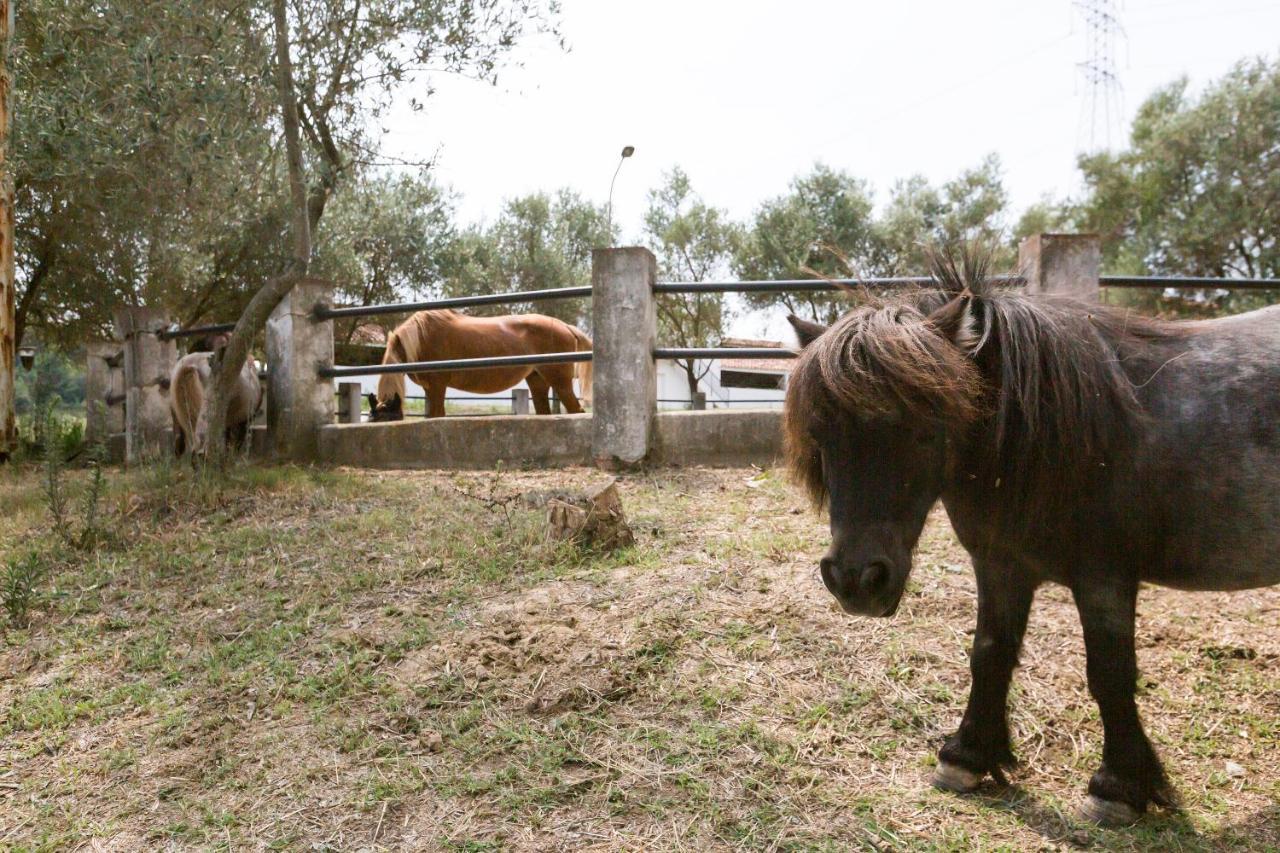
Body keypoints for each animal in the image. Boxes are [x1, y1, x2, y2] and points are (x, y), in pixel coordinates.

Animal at [368, 311, 591, 420]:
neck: (420, 338)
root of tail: (565, 326)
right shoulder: (429, 388)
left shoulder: (438, 386)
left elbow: (438, 415)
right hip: (537, 381)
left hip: (560, 382)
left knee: (576, 410)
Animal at [778, 249, 1280, 819]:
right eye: (820, 434)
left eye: (926, 430)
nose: (856, 581)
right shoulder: (1000, 564)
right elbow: (990, 651)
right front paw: (967, 756)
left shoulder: (1105, 579)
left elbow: (1110, 674)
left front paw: (1117, 787)